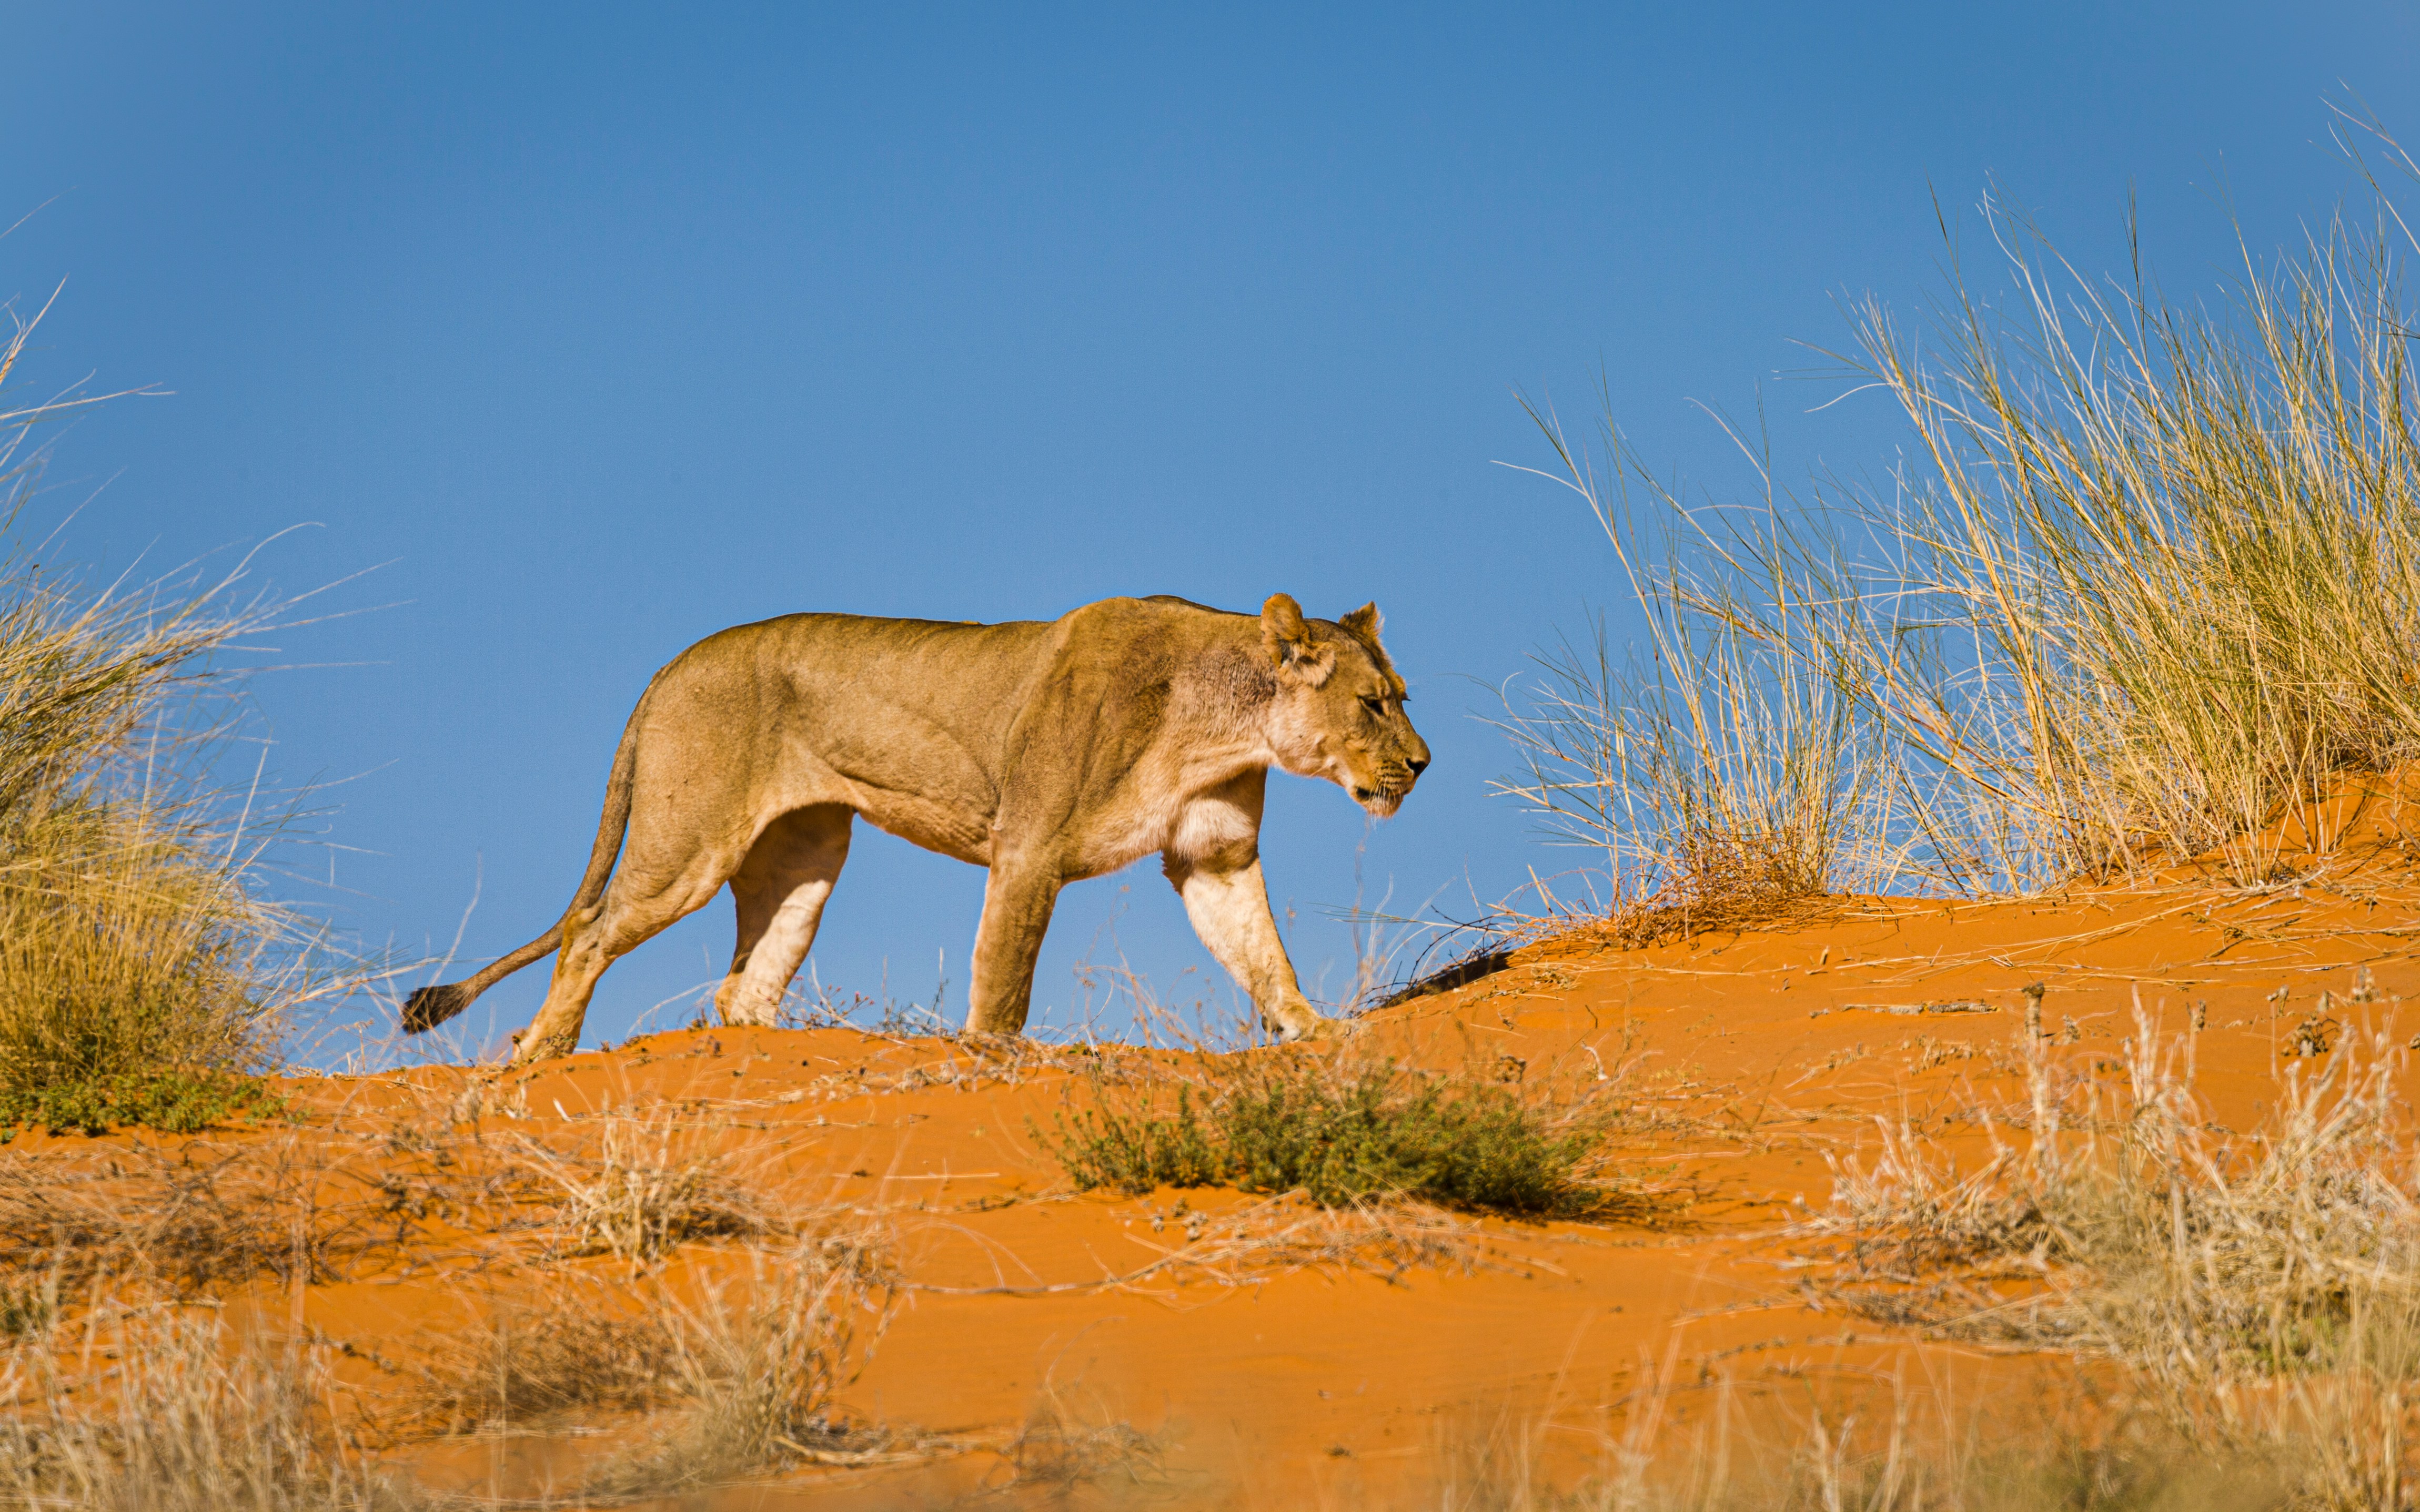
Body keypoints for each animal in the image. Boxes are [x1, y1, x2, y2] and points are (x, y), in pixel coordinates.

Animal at [401, 592, 1428, 1064]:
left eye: (1402, 698)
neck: (1221, 724)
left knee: (742, 987)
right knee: (589, 930)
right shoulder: (1028, 850)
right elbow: (1003, 982)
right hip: (687, 845)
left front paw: (1319, 1033)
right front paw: (991, 1062)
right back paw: (540, 1053)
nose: (1422, 764)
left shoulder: (1213, 856)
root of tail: (672, 663)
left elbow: (1264, 955)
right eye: (1374, 704)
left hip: (809, 854)